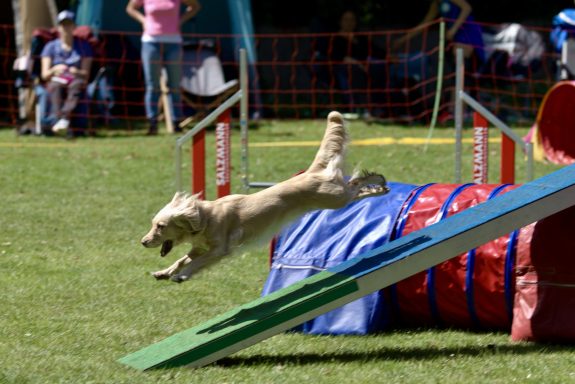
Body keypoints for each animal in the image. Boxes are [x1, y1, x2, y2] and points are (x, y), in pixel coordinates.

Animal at [142, 111, 390, 282]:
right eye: (153, 224)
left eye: (161, 226)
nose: (143, 242)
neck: (205, 218)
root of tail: (312, 171)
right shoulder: (199, 248)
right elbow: (181, 259)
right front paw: (164, 272)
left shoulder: (220, 249)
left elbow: (196, 262)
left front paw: (181, 276)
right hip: (337, 198)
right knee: (356, 187)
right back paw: (380, 187)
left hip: (336, 198)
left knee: (356, 184)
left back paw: (379, 182)